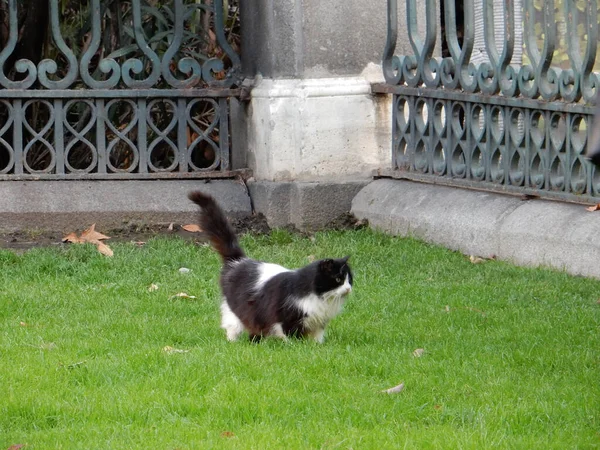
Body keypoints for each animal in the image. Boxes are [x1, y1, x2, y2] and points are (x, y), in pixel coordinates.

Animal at [190, 189, 354, 342]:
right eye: (338, 279)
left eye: (350, 280)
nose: (348, 289)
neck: (321, 299)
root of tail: (239, 261)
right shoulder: (287, 315)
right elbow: (290, 334)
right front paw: (294, 346)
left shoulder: (319, 322)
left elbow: (317, 337)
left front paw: (317, 346)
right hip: (236, 309)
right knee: (232, 325)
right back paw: (233, 341)